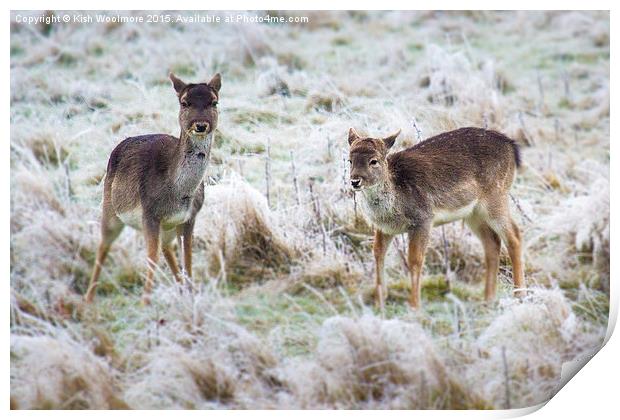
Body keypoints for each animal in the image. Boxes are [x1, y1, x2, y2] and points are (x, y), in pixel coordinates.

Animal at [85, 71, 223, 302]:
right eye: (184, 102)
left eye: (214, 101)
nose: (201, 125)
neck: (178, 193)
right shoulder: (149, 214)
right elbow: (151, 258)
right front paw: (145, 303)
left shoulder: (190, 217)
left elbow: (187, 258)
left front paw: (191, 293)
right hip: (110, 207)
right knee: (103, 245)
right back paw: (88, 299)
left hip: (167, 226)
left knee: (166, 248)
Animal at [346, 127, 524, 308]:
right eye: (350, 160)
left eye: (373, 161)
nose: (355, 181)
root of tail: (512, 147)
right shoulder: (384, 228)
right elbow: (377, 254)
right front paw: (379, 303)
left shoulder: (423, 218)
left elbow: (415, 259)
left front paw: (414, 305)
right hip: (473, 213)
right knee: (492, 242)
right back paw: (488, 299)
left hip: (496, 197)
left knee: (514, 235)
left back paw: (519, 295)